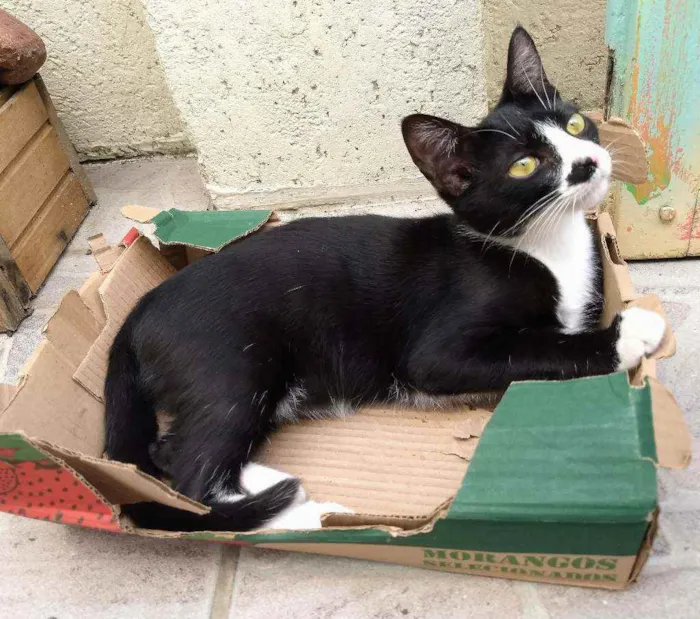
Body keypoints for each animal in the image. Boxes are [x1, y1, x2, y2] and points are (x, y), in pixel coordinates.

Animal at [104, 26, 666, 533]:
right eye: (525, 165)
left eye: (575, 122)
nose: (588, 162)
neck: (544, 244)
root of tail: (139, 309)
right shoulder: (437, 348)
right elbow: (538, 344)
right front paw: (627, 333)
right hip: (229, 364)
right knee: (188, 475)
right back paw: (306, 514)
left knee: (175, 454)